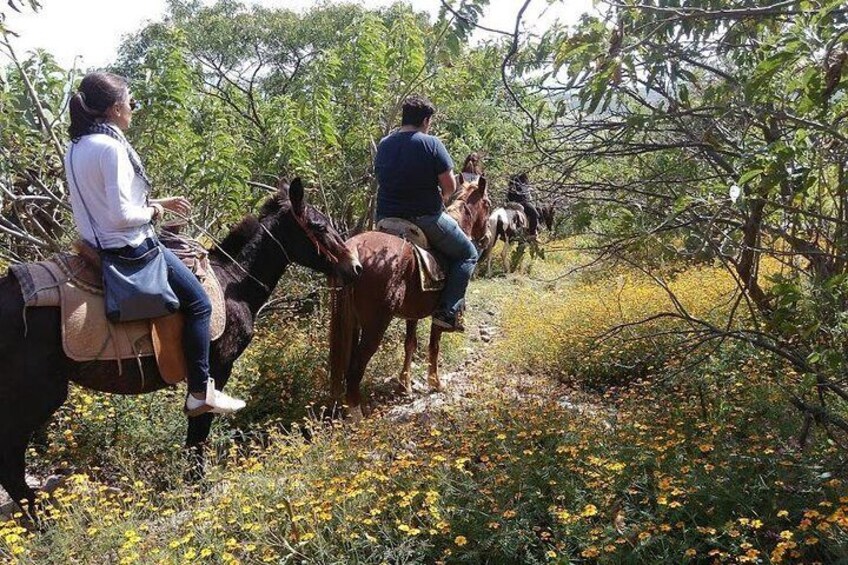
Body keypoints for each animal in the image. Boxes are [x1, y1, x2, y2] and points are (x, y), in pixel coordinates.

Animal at [0, 177, 362, 516]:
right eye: (318, 226)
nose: (355, 267)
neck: (233, 282)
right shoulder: (216, 369)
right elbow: (200, 426)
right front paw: (197, 485)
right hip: (36, 395)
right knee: (10, 461)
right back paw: (42, 519)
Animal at [330, 178, 494, 416]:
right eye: (488, 204)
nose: (488, 238)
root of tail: (354, 249)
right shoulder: (438, 313)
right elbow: (434, 346)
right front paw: (435, 383)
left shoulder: (412, 313)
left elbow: (410, 344)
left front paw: (404, 385)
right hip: (375, 325)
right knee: (356, 367)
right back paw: (356, 414)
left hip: (352, 322)